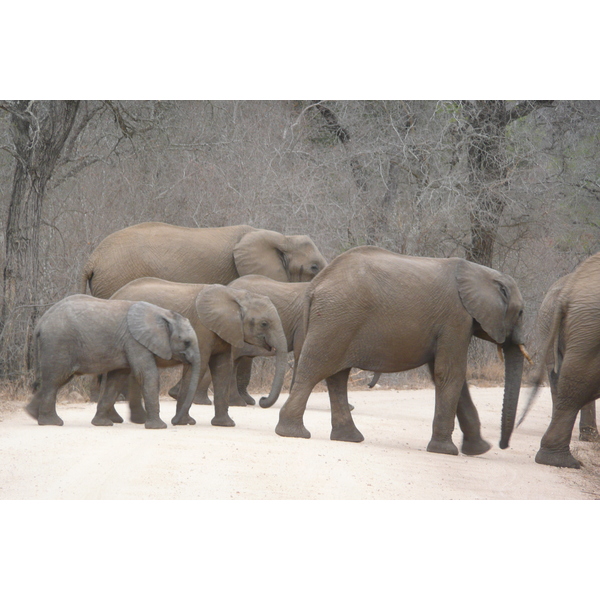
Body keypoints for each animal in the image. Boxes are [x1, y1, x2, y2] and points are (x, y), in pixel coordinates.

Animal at [112, 276, 290, 426]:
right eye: (264, 324)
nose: (262, 399)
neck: (235, 295)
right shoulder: (201, 329)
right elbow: (201, 366)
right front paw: (185, 422)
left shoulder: (225, 330)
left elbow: (222, 368)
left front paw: (225, 424)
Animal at [274, 246, 528, 458]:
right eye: (521, 313)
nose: (503, 445)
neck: (479, 272)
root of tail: (315, 286)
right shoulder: (456, 319)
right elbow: (450, 374)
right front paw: (447, 451)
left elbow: (450, 376)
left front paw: (479, 450)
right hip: (336, 318)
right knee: (315, 369)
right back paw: (293, 433)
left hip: (338, 320)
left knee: (337, 377)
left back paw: (348, 438)